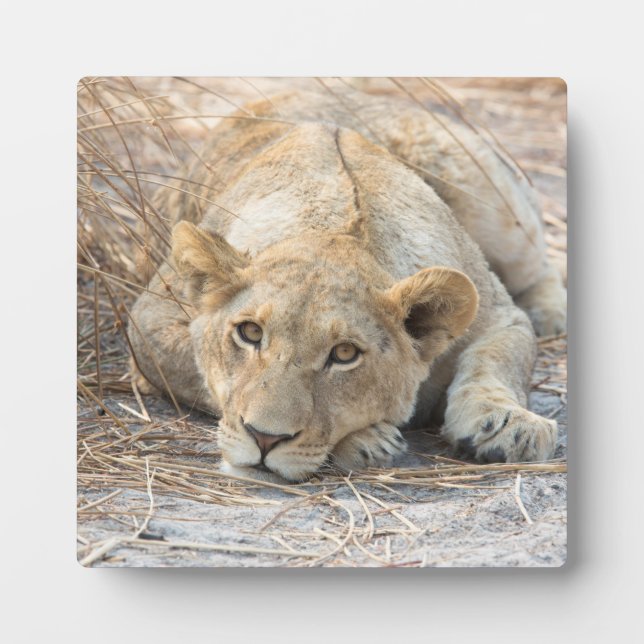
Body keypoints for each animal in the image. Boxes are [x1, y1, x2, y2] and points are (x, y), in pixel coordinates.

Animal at [129, 87, 566, 482]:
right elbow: (199, 373)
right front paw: (368, 440)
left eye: (344, 354)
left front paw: (510, 425)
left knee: (540, 266)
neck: (334, 226)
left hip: (494, 204)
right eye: (250, 332)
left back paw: (551, 316)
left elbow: (497, 360)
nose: (264, 438)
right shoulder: (149, 319)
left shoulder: (500, 316)